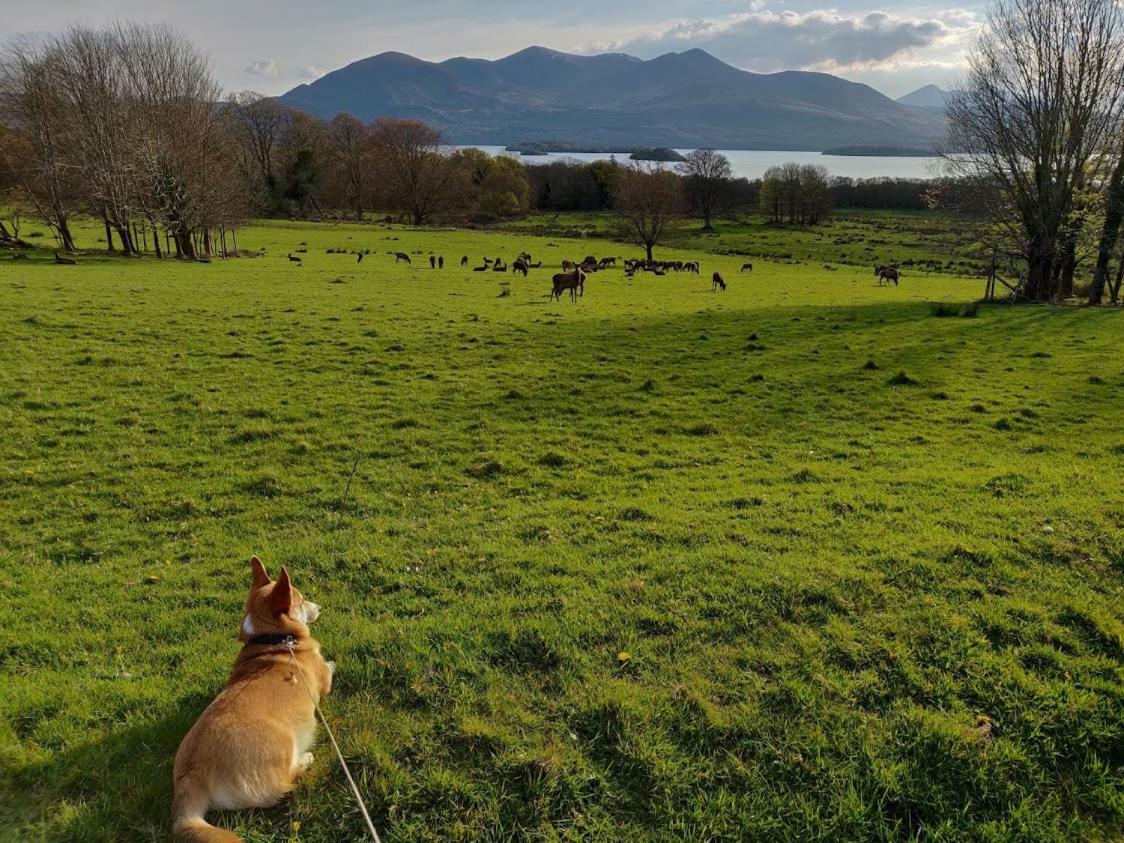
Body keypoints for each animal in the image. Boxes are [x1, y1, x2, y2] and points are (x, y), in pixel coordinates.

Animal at [168, 557, 330, 840]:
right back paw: (305, 760)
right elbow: (331, 669)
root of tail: (192, 775)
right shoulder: (325, 681)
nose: (319, 606)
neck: (272, 639)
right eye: (301, 601)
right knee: (284, 782)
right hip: (281, 740)